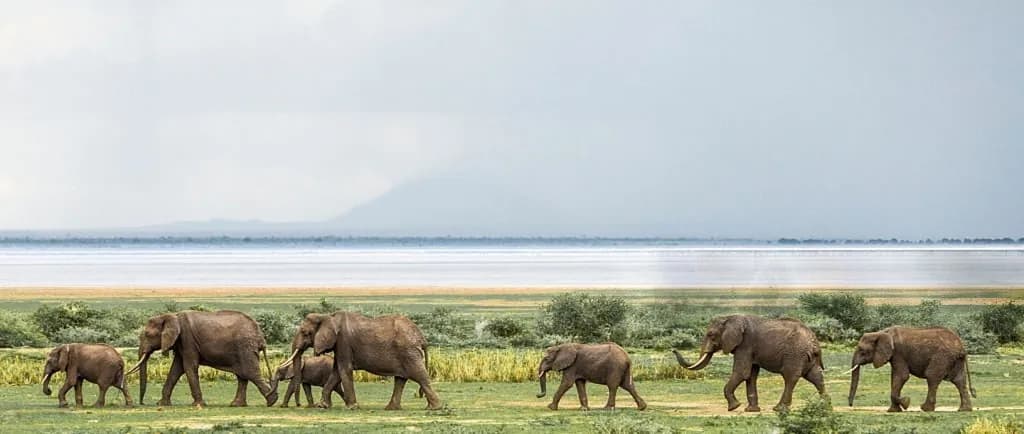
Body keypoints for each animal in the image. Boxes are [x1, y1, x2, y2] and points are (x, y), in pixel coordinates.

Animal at [126, 310, 278, 408]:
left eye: (147, 334)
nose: (142, 403)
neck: (172, 316)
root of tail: (260, 336)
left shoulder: (188, 340)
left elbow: (188, 367)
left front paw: (198, 405)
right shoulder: (181, 343)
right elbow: (176, 369)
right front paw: (162, 404)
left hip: (245, 347)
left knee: (250, 373)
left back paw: (272, 401)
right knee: (243, 375)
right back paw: (236, 405)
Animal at [277, 312, 442, 410]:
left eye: (305, 332)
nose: (299, 405)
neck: (328, 317)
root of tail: (421, 337)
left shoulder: (343, 342)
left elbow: (343, 370)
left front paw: (351, 407)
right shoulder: (339, 345)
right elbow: (336, 372)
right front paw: (322, 406)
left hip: (408, 352)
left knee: (419, 376)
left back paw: (434, 408)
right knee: (400, 379)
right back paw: (391, 409)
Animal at [673, 314, 825, 412]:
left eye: (711, 334)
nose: (673, 349)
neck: (730, 318)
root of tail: (814, 341)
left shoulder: (745, 345)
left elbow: (742, 372)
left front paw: (734, 407)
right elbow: (750, 375)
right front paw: (751, 410)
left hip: (795, 353)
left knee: (790, 377)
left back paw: (779, 409)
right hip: (806, 356)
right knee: (815, 376)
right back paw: (826, 406)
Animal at [846, 326, 975, 412]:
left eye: (862, 351)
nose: (851, 405)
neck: (881, 332)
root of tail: (961, 346)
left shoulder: (898, 353)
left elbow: (901, 376)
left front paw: (906, 402)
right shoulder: (895, 356)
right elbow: (895, 378)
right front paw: (893, 410)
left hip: (942, 357)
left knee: (932, 377)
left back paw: (925, 408)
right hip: (956, 360)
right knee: (959, 381)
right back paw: (964, 410)